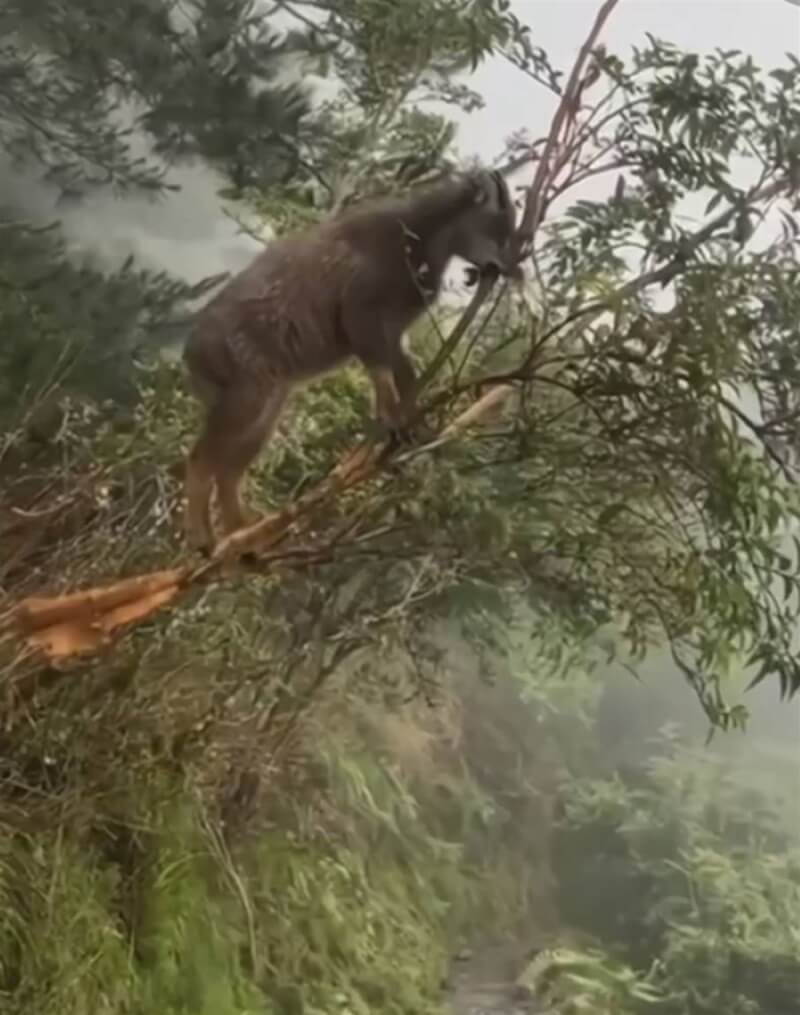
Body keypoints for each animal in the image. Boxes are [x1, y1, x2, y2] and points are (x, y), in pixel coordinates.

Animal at [181, 170, 517, 552]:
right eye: (498, 224)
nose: (506, 268)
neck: (416, 240)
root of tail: (192, 356)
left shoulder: (394, 330)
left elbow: (406, 373)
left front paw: (413, 424)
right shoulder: (361, 312)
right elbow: (379, 369)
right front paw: (390, 416)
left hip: (266, 408)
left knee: (227, 473)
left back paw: (241, 539)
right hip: (245, 395)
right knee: (200, 459)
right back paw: (203, 537)